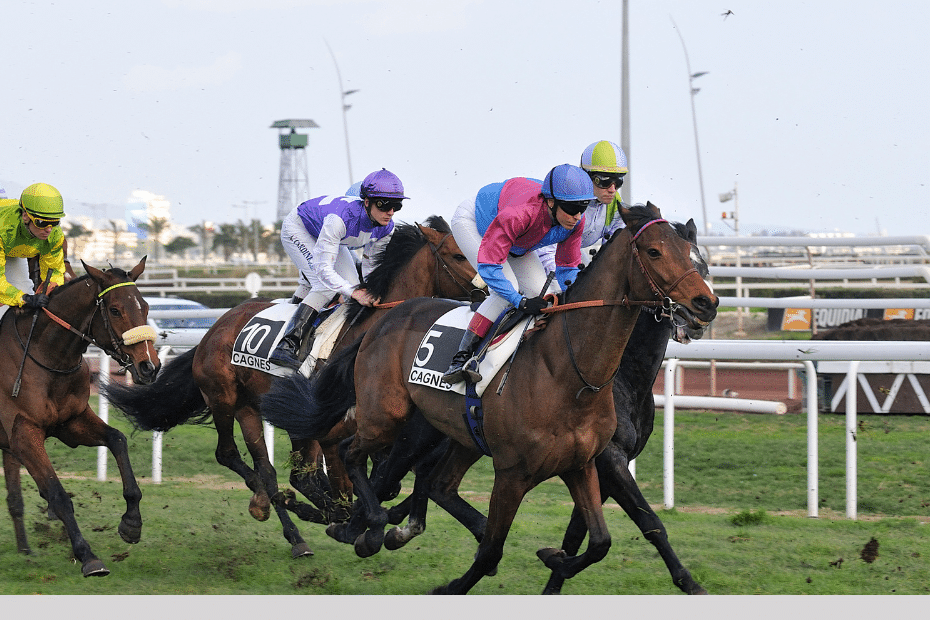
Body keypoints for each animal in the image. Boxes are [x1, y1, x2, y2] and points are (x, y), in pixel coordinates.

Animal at [0, 258, 158, 576]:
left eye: (145, 306)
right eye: (115, 310)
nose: (149, 366)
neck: (47, 357)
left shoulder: (70, 422)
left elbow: (117, 439)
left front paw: (131, 522)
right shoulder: (24, 432)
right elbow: (58, 494)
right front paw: (88, 556)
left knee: (14, 498)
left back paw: (25, 549)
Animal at [103, 218, 478, 556]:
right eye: (458, 254)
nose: (486, 289)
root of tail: (217, 325)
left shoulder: (379, 428)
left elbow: (388, 480)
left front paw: (369, 519)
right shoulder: (331, 431)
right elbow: (343, 487)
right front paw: (342, 518)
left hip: (261, 410)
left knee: (279, 471)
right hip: (228, 399)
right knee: (240, 459)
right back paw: (280, 516)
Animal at [260, 202, 716, 592]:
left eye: (699, 258)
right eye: (655, 251)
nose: (706, 304)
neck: (573, 373)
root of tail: (384, 320)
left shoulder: (583, 463)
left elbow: (596, 539)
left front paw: (554, 561)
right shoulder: (519, 472)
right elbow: (499, 548)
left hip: (449, 432)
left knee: (429, 482)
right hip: (386, 415)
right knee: (350, 455)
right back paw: (360, 525)